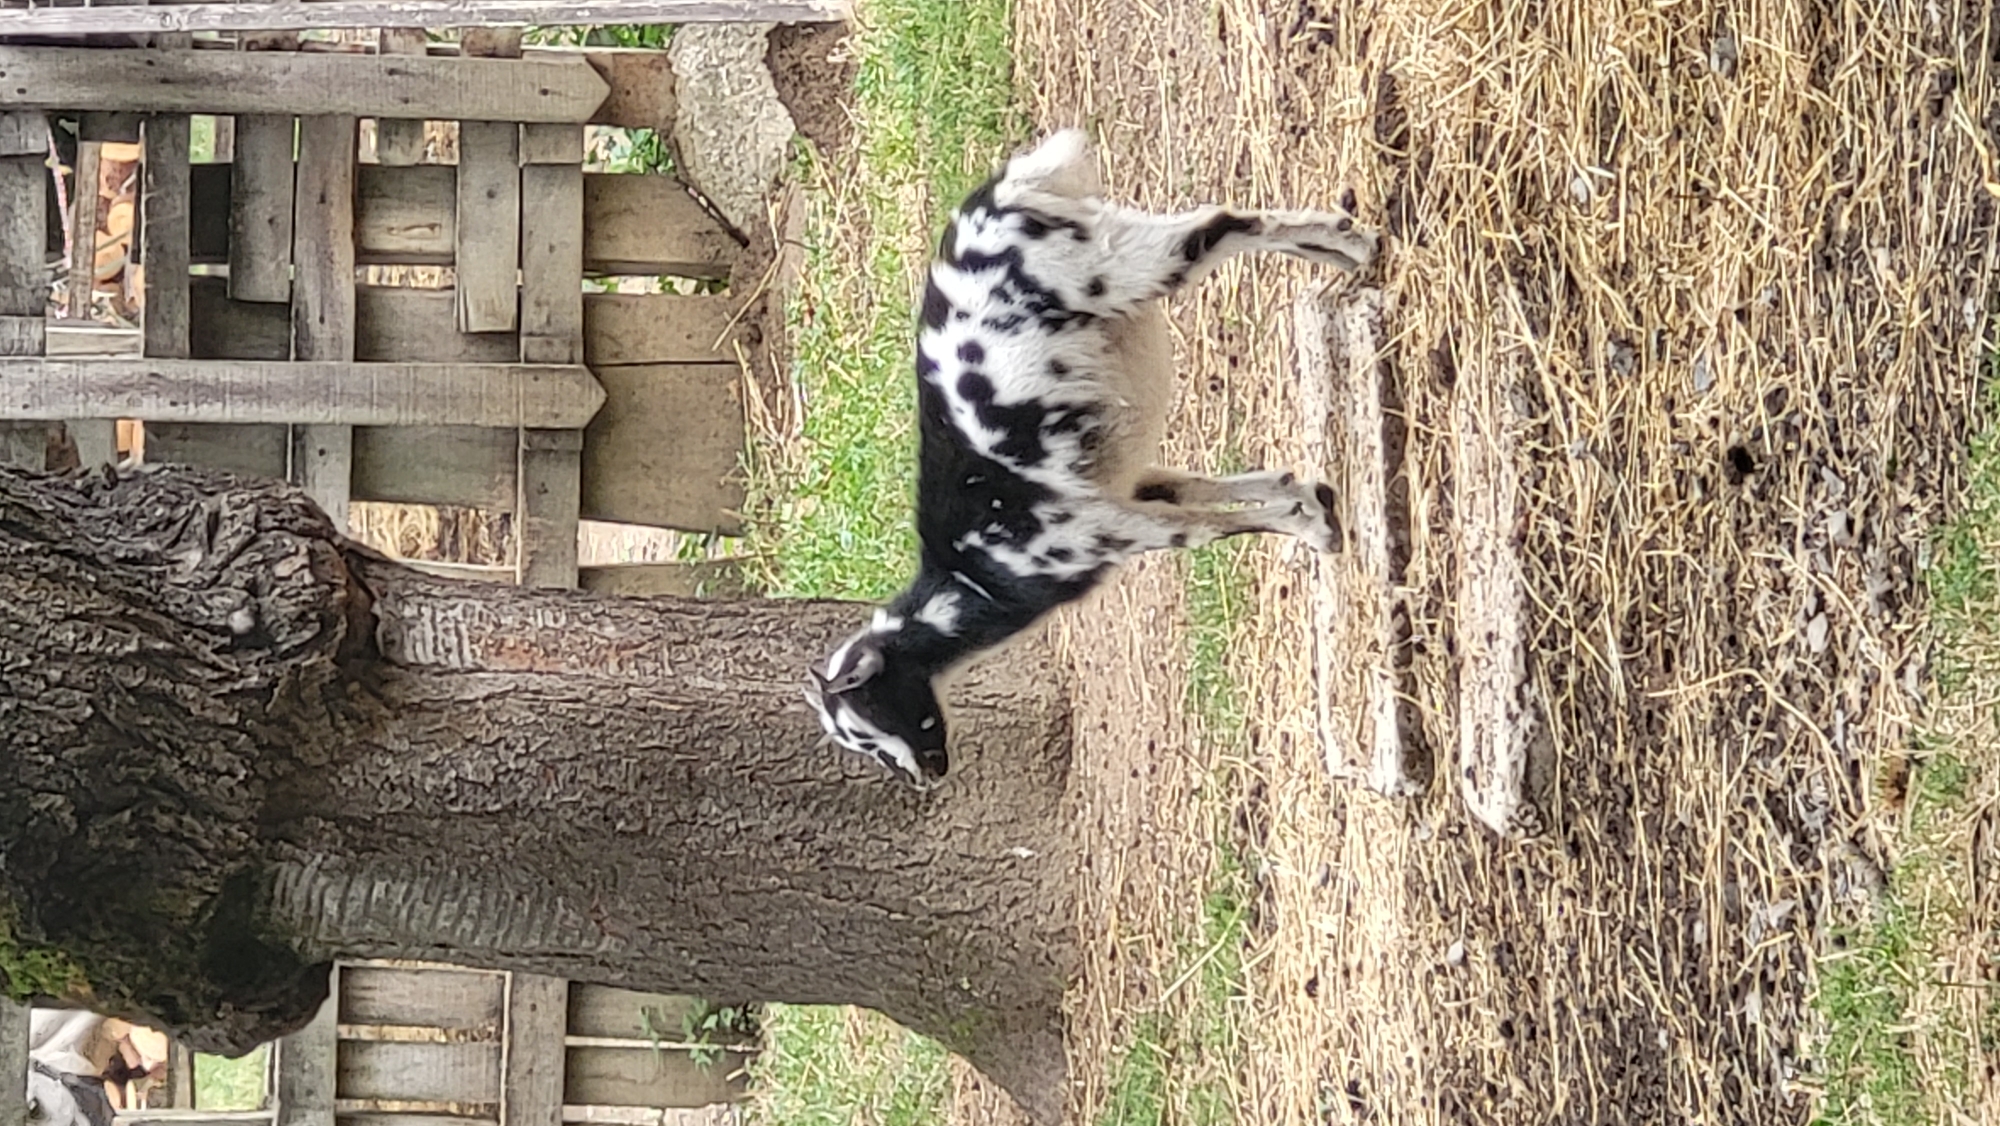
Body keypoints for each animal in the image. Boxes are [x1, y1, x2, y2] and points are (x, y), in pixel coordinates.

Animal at [805, 128, 1380, 786]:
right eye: (857, 741)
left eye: (868, 723)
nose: (925, 777)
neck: (976, 576)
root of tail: (999, 194)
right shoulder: (1122, 489)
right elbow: (1207, 490)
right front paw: (1309, 499)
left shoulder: (1105, 530)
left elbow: (1208, 531)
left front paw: (1313, 528)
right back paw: (1345, 254)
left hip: (1117, 264)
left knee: (1223, 223)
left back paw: (1357, 246)